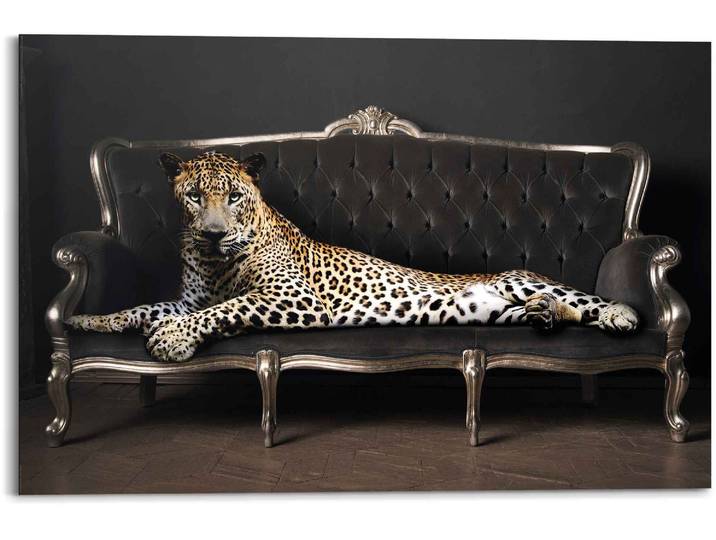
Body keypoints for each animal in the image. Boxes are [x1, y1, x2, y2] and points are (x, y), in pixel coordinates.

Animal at [67, 150, 639, 362]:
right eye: (193, 196)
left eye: (232, 196)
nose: (211, 234)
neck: (214, 262)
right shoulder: (188, 299)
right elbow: (143, 307)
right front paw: (89, 321)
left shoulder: (292, 297)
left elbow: (228, 308)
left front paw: (172, 340)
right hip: (496, 310)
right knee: (551, 312)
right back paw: (545, 317)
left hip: (521, 280)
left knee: (583, 301)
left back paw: (618, 314)